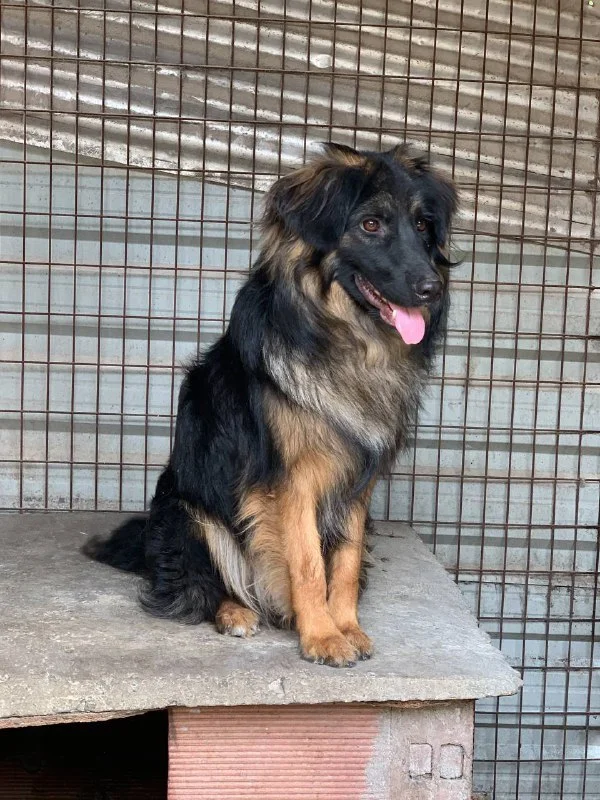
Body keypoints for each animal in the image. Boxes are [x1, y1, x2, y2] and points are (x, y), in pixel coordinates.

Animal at [83, 142, 458, 667]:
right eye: (370, 224)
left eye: (424, 226)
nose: (432, 288)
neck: (348, 340)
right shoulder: (289, 480)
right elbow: (307, 563)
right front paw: (321, 635)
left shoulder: (357, 480)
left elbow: (343, 562)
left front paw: (347, 626)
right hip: (188, 512)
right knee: (197, 586)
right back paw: (235, 612)